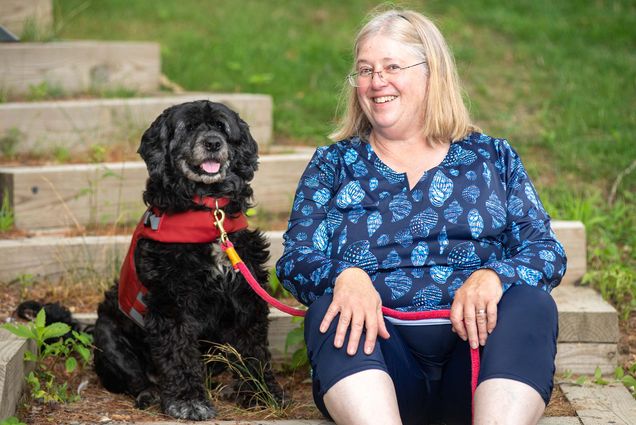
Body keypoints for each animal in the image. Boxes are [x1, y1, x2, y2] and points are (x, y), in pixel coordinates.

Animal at [92, 100, 284, 420]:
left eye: (221, 127)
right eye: (189, 127)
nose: (213, 143)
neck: (208, 212)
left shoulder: (246, 295)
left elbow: (253, 348)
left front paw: (261, 391)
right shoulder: (172, 302)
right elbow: (179, 354)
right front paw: (187, 400)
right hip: (108, 335)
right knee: (135, 377)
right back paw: (150, 393)